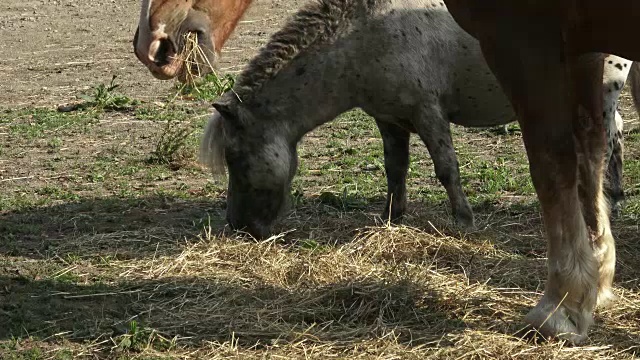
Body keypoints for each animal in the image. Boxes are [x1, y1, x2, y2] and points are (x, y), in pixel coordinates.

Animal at [442, 0, 640, 344]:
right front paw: (597, 275)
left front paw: (561, 305)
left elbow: (551, 162)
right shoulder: (582, 49)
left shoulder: (523, 41)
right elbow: (589, 144)